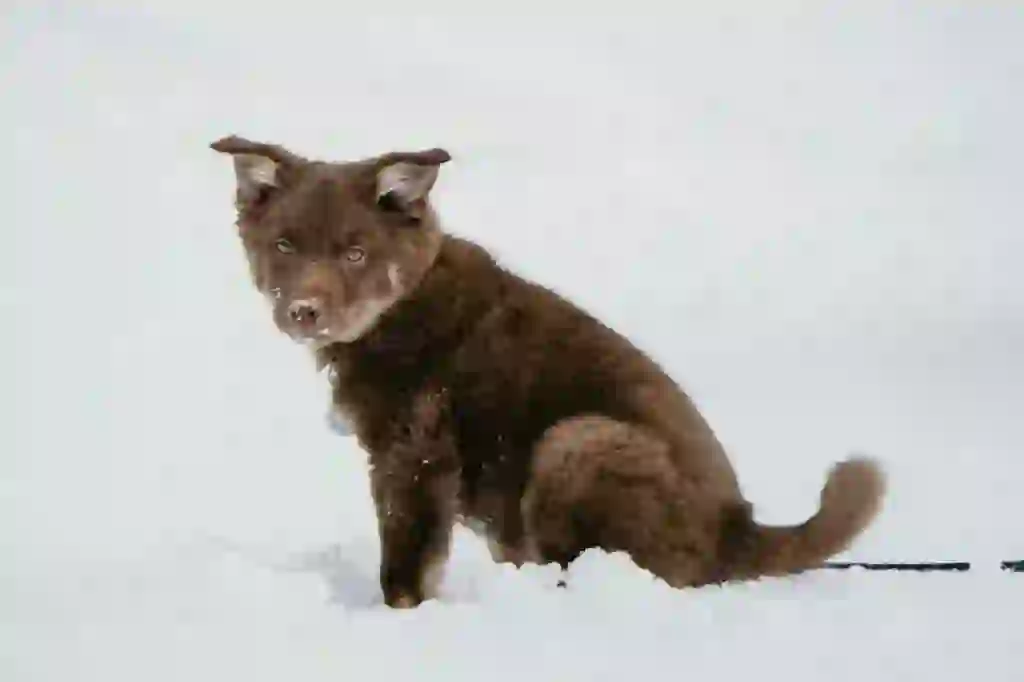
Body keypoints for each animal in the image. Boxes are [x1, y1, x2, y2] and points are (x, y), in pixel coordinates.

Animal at [209, 133, 888, 606]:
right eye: (284, 246)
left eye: (355, 253)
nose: (304, 312)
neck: (400, 307)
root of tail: (738, 529)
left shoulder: (415, 456)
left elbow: (405, 564)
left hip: (577, 442)